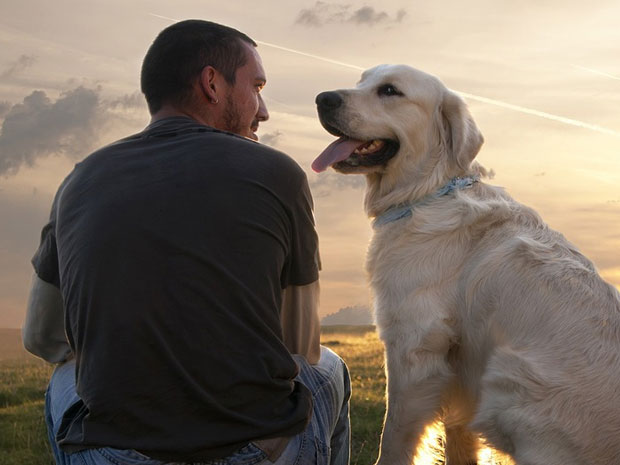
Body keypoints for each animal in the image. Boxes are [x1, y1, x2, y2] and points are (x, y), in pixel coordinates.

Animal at [312, 66, 620, 464]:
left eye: (390, 91)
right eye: (361, 80)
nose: (322, 98)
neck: (428, 192)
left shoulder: (413, 346)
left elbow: (394, 435)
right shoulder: (457, 367)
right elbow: (458, 436)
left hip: (508, 380)